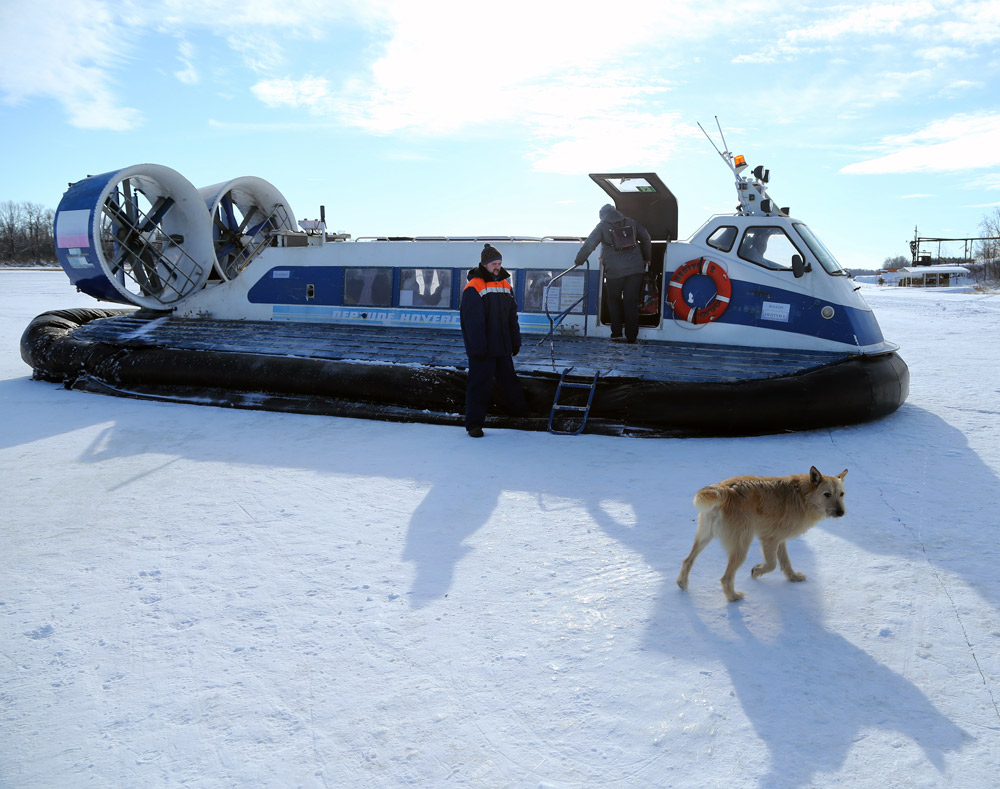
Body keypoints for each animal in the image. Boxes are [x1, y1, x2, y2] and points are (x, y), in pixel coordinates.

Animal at [676, 464, 848, 600]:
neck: (802, 495)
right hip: (741, 546)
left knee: (687, 560)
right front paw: (756, 571)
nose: (841, 513)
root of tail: (726, 489)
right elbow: (772, 564)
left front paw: (792, 578)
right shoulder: (769, 540)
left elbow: (786, 563)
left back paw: (682, 583)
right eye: (827, 495)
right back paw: (733, 598)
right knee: (726, 578)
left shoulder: (780, 540)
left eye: (841, 494)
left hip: (705, 537)